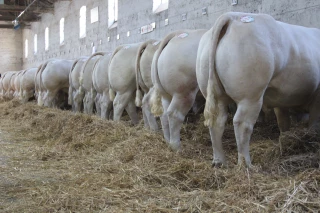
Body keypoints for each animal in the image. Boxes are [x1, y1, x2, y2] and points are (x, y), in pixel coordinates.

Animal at [198, 12, 320, 168]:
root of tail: (232, 16)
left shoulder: (281, 99)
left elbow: (283, 123)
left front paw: (285, 139)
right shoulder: (316, 97)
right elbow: (314, 122)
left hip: (215, 94)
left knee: (217, 122)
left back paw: (220, 162)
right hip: (250, 96)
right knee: (242, 124)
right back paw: (246, 165)